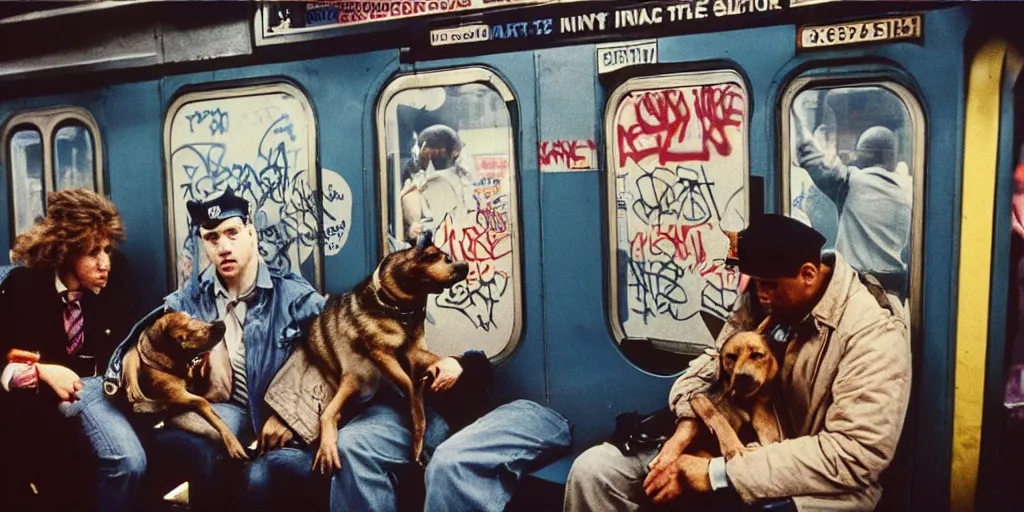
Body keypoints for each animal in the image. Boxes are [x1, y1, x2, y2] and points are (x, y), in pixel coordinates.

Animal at [118, 311, 247, 460]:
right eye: (183, 336)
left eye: (194, 318)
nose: (221, 323)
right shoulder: (179, 394)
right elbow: (206, 407)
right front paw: (233, 443)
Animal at [301, 230, 466, 473]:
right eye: (445, 259)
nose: (466, 265)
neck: (401, 309)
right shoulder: (382, 354)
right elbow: (410, 388)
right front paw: (418, 427)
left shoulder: (414, 349)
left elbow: (435, 360)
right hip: (352, 378)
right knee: (329, 413)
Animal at [688, 315, 782, 460]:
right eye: (731, 357)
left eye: (757, 355)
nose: (743, 377)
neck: (745, 401)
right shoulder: (700, 397)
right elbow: (713, 413)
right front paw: (732, 447)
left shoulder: (771, 436)